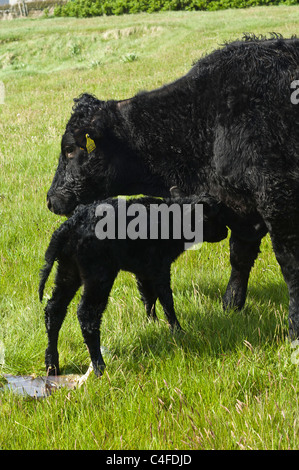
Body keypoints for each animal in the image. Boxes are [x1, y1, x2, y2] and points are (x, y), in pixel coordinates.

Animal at [47, 35, 299, 340]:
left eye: (70, 149)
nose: (51, 199)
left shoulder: (278, 199)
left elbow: (290, 265)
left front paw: (294, 328)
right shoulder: (240, 207)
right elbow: (240, 257)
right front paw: (231, 305)